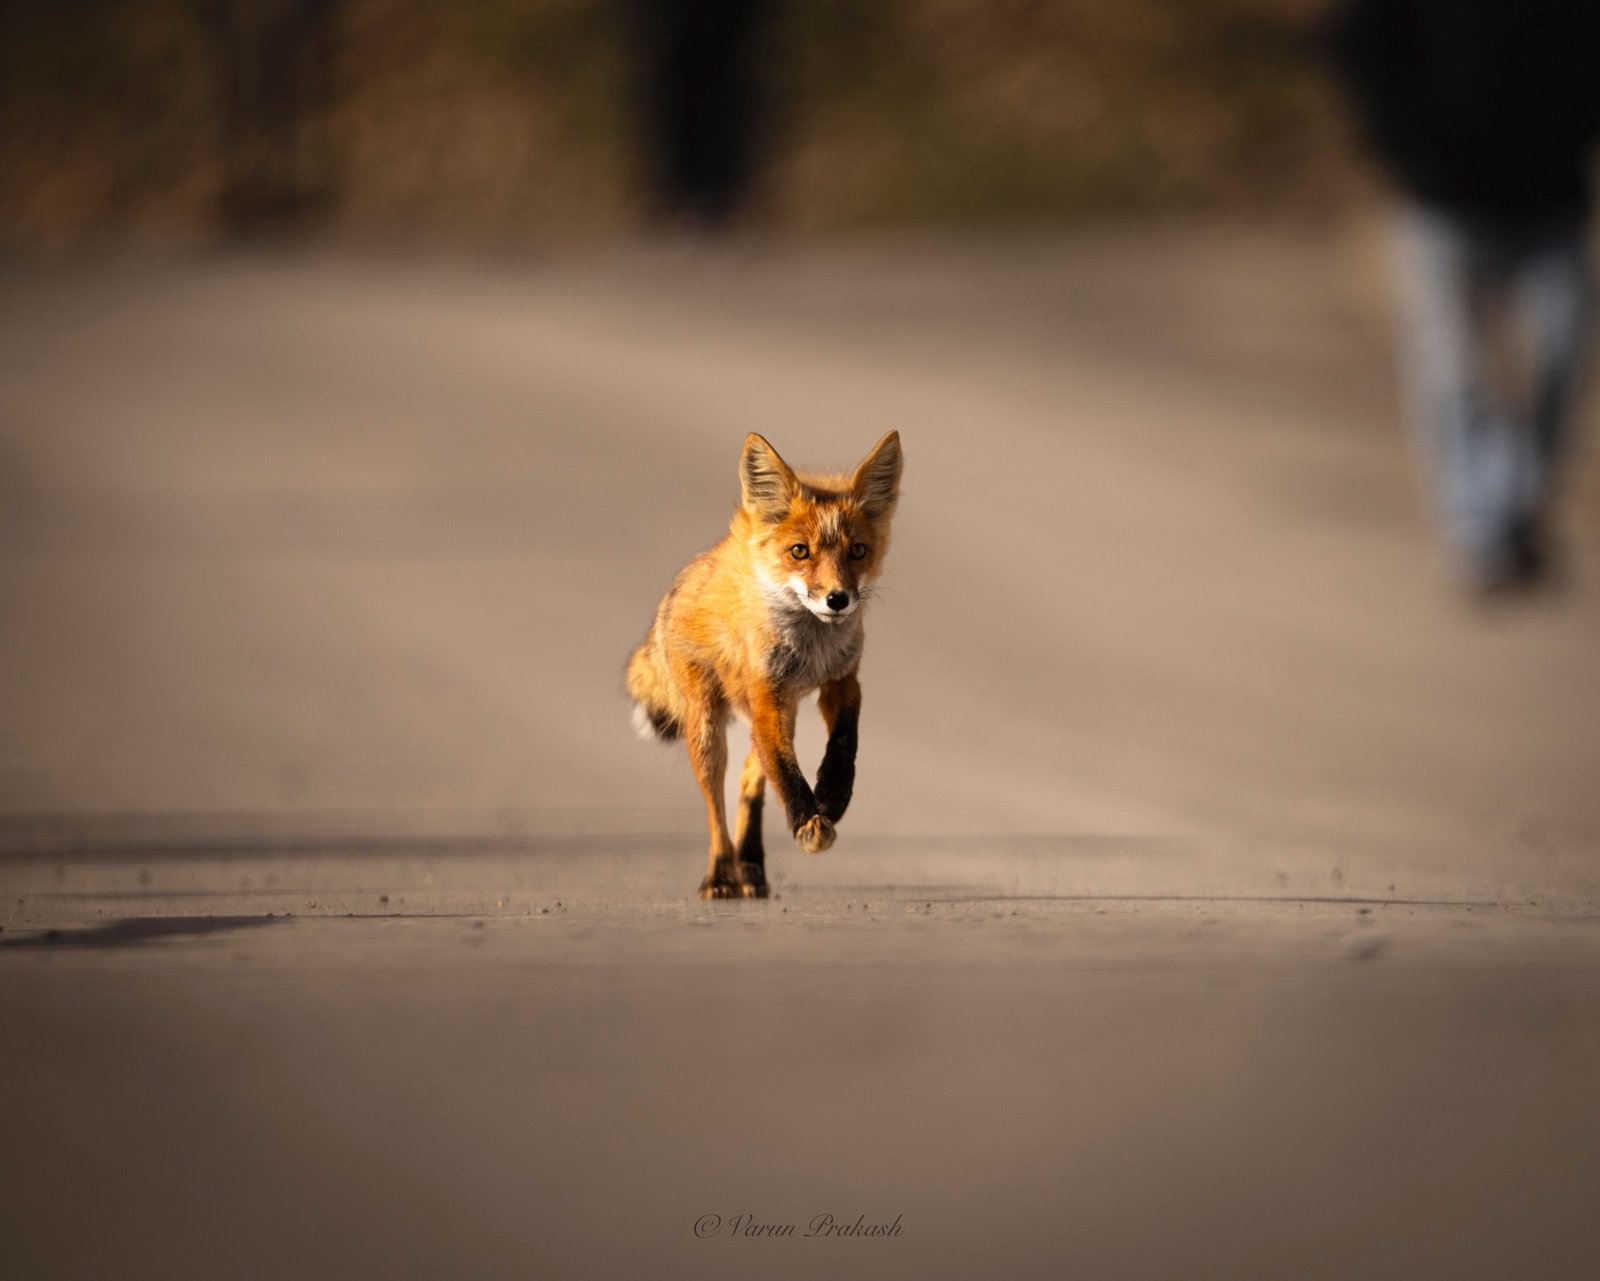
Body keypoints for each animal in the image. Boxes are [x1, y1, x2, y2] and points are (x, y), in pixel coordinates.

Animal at [626, 431, 903, 899]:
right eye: (800, 552)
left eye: (859, 552)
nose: (838, 599)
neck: (811, 651)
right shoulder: (766, 692)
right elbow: (786, 773)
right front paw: (807, 820)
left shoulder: (841, 681)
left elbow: (845, 740)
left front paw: (833, 793)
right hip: (708, 727)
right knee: (716, 799)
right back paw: (723, 873)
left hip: (780, 714)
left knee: (748, 778)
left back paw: (751, 864)